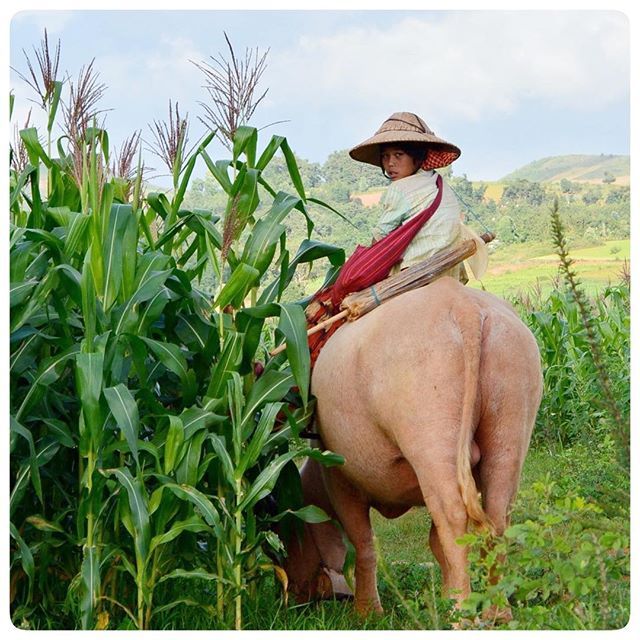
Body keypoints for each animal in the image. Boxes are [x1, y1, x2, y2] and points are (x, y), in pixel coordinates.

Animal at [284, 278, 540, 616]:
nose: (292, 596)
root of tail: (462, 305)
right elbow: (434, 542)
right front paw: (443, 594)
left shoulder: (341, 482)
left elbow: (364, 545)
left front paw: (367, 611)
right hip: (508, 431)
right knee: (497, 518)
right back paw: (496, 612)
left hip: (432, 442)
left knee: (454, 518)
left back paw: (460, 612)